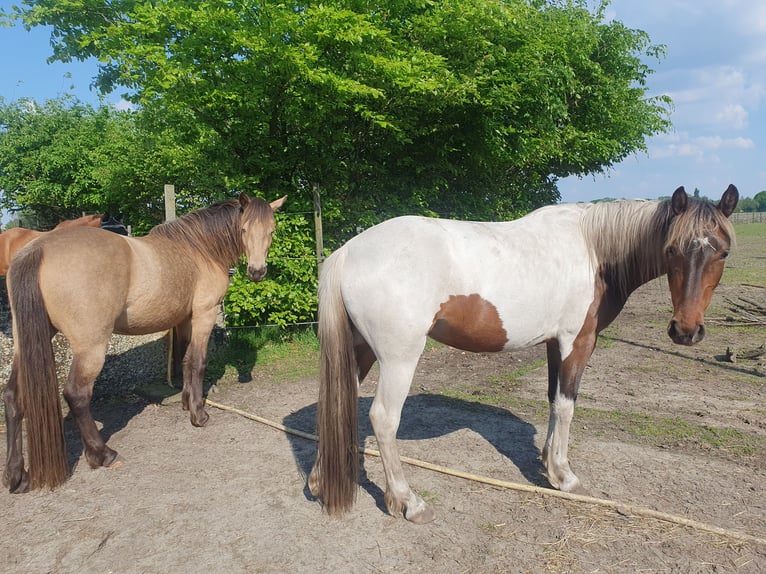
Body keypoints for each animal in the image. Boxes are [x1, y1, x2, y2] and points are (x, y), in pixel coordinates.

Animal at [3, 193, 286, 493]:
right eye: (243, 229)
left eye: (272, 231)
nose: (257, 272)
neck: (199, 249)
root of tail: (39, 249)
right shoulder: (204, 314)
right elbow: (197, 362)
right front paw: (199, 415)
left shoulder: (184, 319)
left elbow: (183, 360)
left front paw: (186, 402)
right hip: (90, 347)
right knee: (76, 394)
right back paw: (102, 454)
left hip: (28, 343)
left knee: (12, 397)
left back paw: (16, 475)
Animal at [308, 185, 739, 523]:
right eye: (672, 249)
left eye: (722, 253)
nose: (685, 331)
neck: (593, 250)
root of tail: (348, 251)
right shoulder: (577, 341)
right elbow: (566, 404)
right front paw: (564, 475)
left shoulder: (553, 344)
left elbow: (552, 399)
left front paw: (547, 460)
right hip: (399, 359)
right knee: (383, 419)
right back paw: (407, 501)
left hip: (360, 351)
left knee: (336, 402)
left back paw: (319, 480)